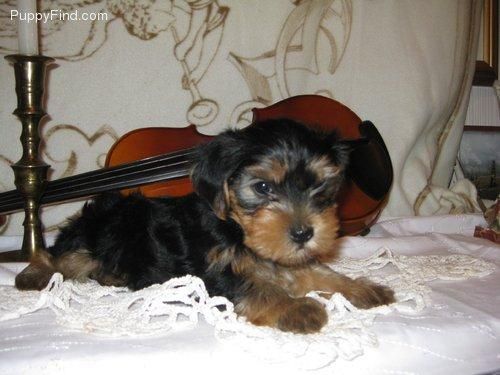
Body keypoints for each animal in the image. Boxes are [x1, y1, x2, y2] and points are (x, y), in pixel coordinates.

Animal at [15, 119, 394, 334]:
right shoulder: (212, 273)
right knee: (61, 256)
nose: (303, 233)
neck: (236, 228)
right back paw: (35, 274)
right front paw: (295, 307)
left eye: (319, 185)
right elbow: (256, 287)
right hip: (97, 235)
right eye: (263, 188)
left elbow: (319, 271)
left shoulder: (288, 257)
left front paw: (360, 288)